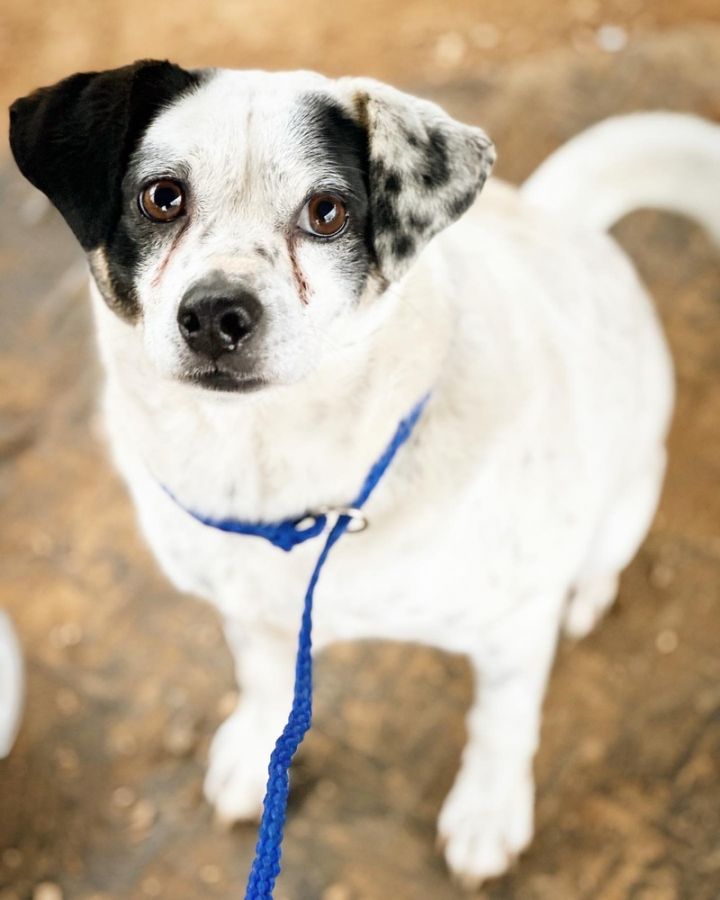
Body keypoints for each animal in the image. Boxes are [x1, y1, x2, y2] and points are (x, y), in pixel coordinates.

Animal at [7, 63, 720, 884]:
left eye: (328, 212)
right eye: (162, 197)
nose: (216, 313)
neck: (288, 486)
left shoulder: (511, 630)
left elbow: (502, 723)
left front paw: (487, 811)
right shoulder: (247, 609)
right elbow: (263, 680)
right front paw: (257, 755)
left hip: (625, 497)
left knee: (599, 555)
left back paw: (587, 593)